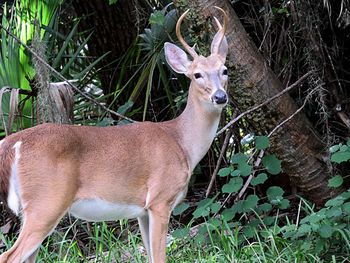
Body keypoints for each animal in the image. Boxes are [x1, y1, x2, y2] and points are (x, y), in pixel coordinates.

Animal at [0, 6, 228, 263]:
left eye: (225, 71)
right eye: (197, 74)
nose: (220, 97)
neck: (182, 141)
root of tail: (12, 142)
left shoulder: (143, 211)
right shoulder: (160, 199)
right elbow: (160, 257)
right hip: (46, 203)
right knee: (8, 256)